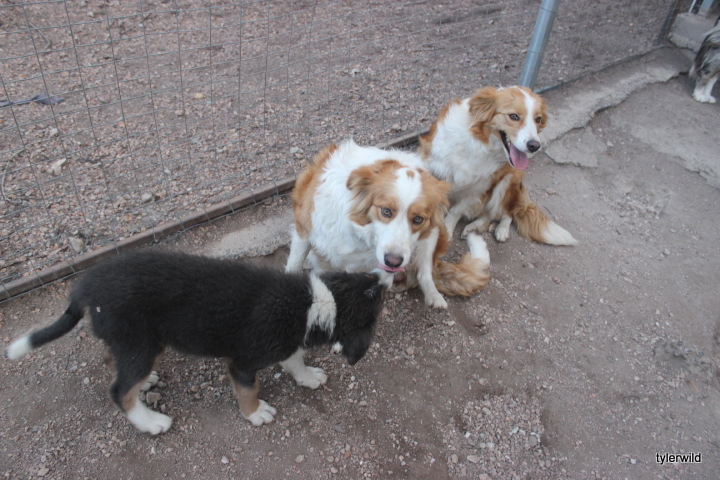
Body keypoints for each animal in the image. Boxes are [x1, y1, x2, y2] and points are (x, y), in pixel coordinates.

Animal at [5, 251, 385, 434]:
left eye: (367, 283)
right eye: (373, 295)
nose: (383, 275)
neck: (315, 302)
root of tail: (86, 286)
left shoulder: (286, 342)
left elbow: (294, 358)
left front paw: (307, 377)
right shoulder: (243, 362)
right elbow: (249, 389)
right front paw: (255, 413)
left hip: (131, 340)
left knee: (116, 363)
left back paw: (148, 382)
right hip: (140, 342)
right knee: (119, 390)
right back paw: (150, 422)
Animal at [286, 139, 490, 310]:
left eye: (418, 219)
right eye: (386, 211)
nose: (393, 261)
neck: (360, 237)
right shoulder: (304, 230)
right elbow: (294, 265)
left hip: (431, 236)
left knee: (424, 272)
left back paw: (432, 294)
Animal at [419, 85, 577, 246]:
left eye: (538, 119)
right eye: (514, 116)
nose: (534, 146)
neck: (479, 143)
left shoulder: (478, 187)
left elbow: (456, 211)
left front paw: (446, 231)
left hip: (508, 181)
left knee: (506, 213)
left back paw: (500, 230)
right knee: (487, 216)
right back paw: (473, 228)